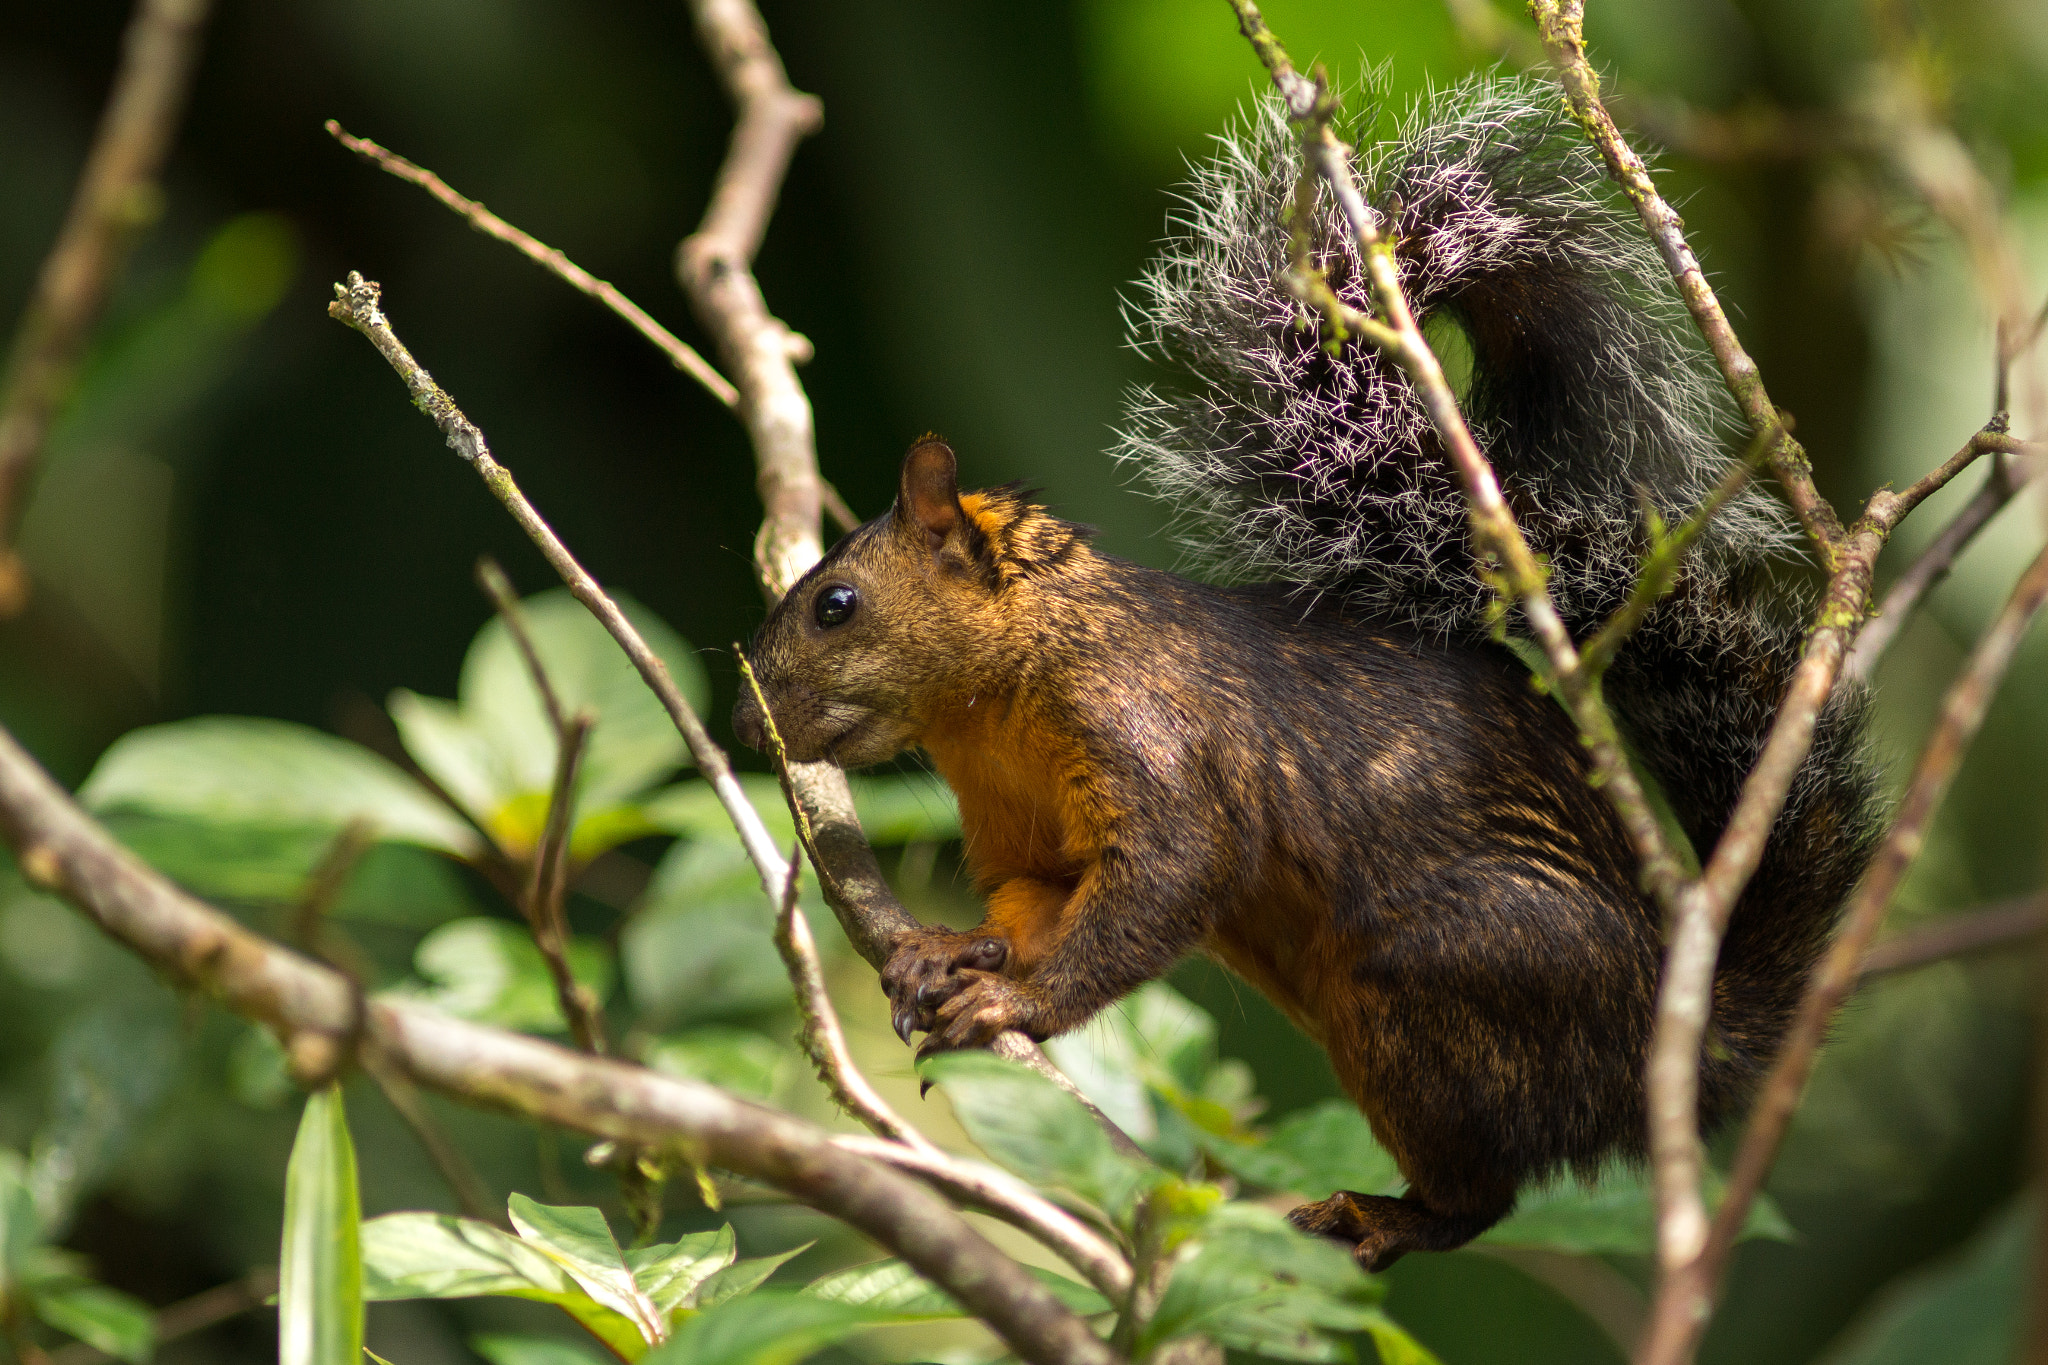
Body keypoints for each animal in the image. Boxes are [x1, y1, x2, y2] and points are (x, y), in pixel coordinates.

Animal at [729, 74, 1875, 1268]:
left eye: (836, 604)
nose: (745, 725)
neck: (993, 703)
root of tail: (1661, 1041)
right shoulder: (1025, 829)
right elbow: (1035, 903)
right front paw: (953, 951)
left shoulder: (1148, 733)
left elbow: (1163, 883)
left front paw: (1015, 1007)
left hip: (1433, 983)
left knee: (1482, 1196)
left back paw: (1383, 1214)